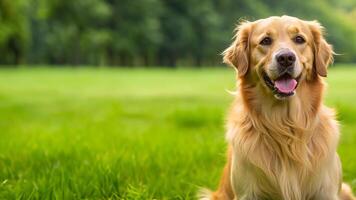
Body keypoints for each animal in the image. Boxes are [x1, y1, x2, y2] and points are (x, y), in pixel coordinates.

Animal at [199, 15, 354, 200]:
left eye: (299, 39)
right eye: (265, 41)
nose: (286, 58)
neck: (284, 126)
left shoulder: (326, 192)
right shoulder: (247, 193)